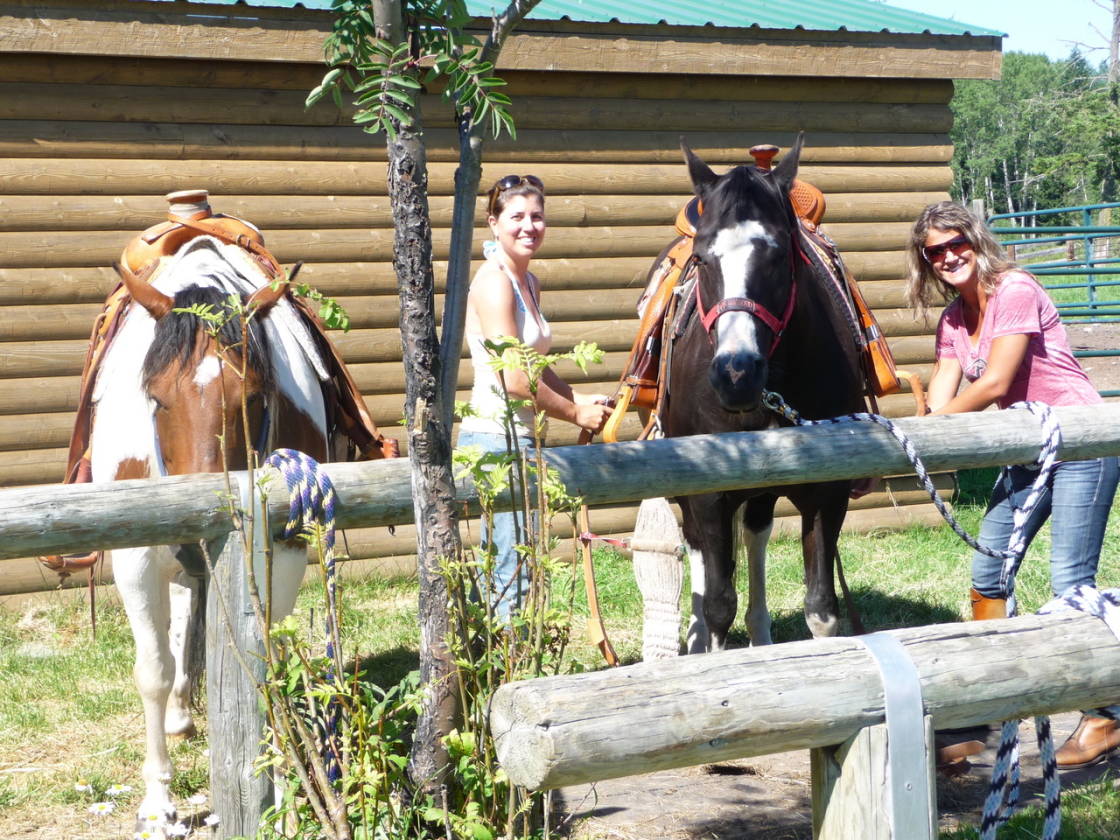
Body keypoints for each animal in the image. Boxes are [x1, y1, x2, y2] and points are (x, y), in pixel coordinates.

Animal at [90, 236, 332, 831]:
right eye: (155, 398)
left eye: (255, 399)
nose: (197, 537)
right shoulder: (135, 557)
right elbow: (153, 670)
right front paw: (157, 803)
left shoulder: (284, 553)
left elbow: (268, 664)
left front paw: (283, 792)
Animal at [663, 136, 865, 653]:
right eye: (702, 258)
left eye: (778, 256)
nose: (736, 373)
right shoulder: (709, 493)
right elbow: (718, 604)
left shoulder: (828, 493)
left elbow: (822, 609)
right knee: (698, 549)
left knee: (755, 535)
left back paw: (761, 633)